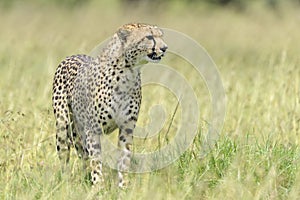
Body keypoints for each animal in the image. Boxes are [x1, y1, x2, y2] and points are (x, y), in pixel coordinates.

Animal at [52, 23, 168, 188]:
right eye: (149, 37)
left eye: (161, 36)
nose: (165, 48)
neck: (128, 71)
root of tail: (72, 56)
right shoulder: (93, 129)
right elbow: (96, 160)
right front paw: (98, 186)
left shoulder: (126, 128)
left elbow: (124, 158)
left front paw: (123, 186)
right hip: (63, 124)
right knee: (66, 155)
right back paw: (66, 183)